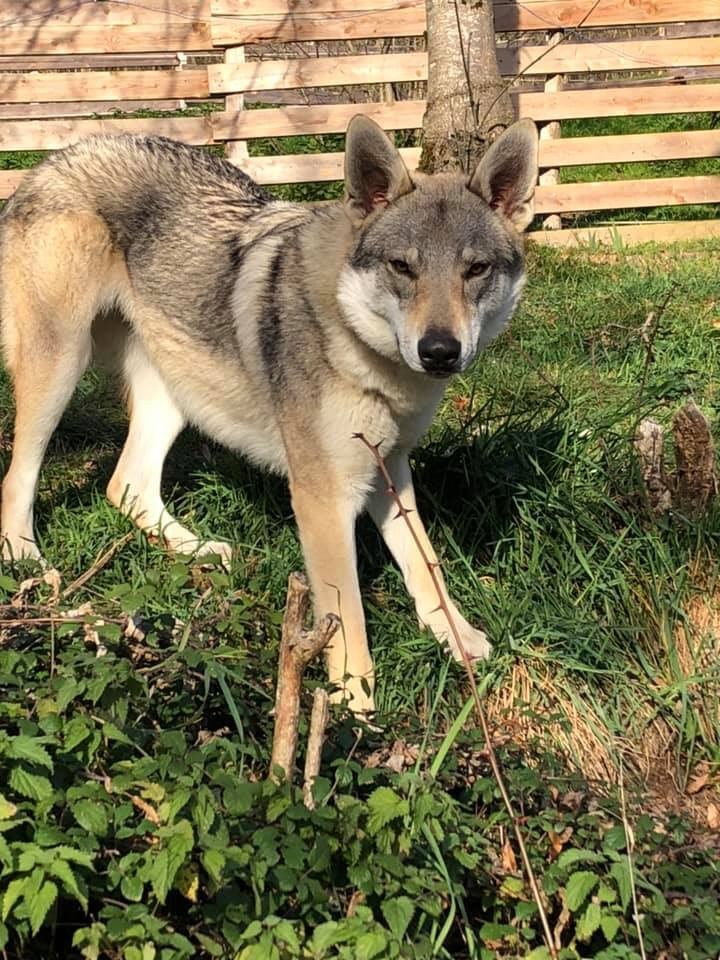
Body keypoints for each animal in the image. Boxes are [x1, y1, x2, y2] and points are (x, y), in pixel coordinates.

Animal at [0, 114, 536, 712]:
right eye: (402, 267)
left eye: (476, 270)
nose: (439, 351)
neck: (363, 351)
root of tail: (53, 161)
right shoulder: (323, 497)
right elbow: (346, 613)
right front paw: (353, 706)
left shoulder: (388, 469)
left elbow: (425, 562)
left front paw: (457, 636)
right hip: (60, 366)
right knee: (19, 478)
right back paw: (26, 563)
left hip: (176, 395)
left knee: (125, 487)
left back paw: (202, 551)